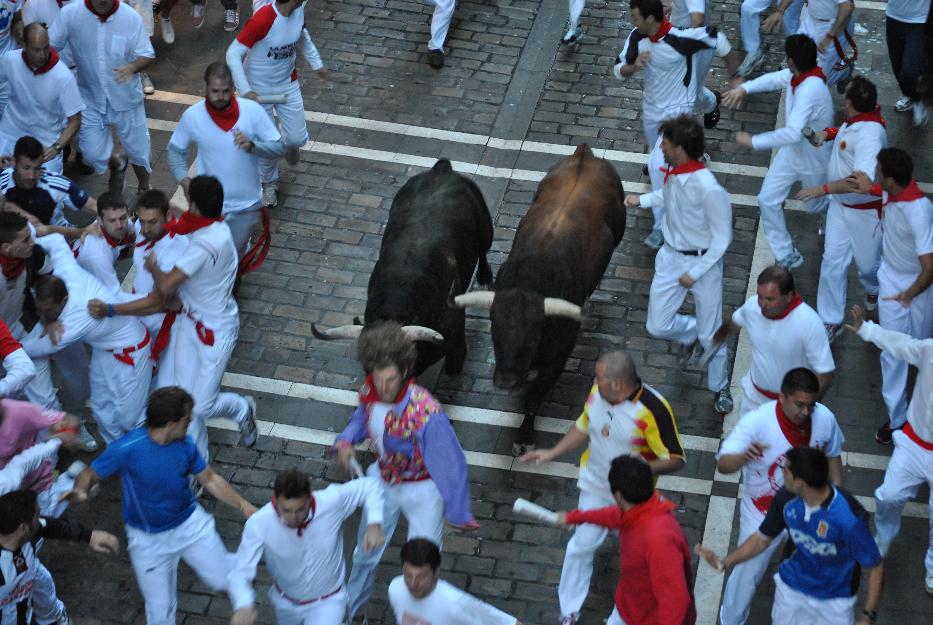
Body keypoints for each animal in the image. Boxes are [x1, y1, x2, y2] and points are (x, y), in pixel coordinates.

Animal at [310, 160, 496, 376]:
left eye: (402, 362)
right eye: (367, 366)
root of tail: (441, 169)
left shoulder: (455, 340)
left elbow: (453, 366)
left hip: (485, 228)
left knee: (483, 249)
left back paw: (484, 276)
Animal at [454, 144, 624, 450]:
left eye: (533, 338)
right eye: (495, 334)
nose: (506, 383)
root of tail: (585, 154)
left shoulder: (558, 359)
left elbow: (534, 398)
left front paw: (524, 437)